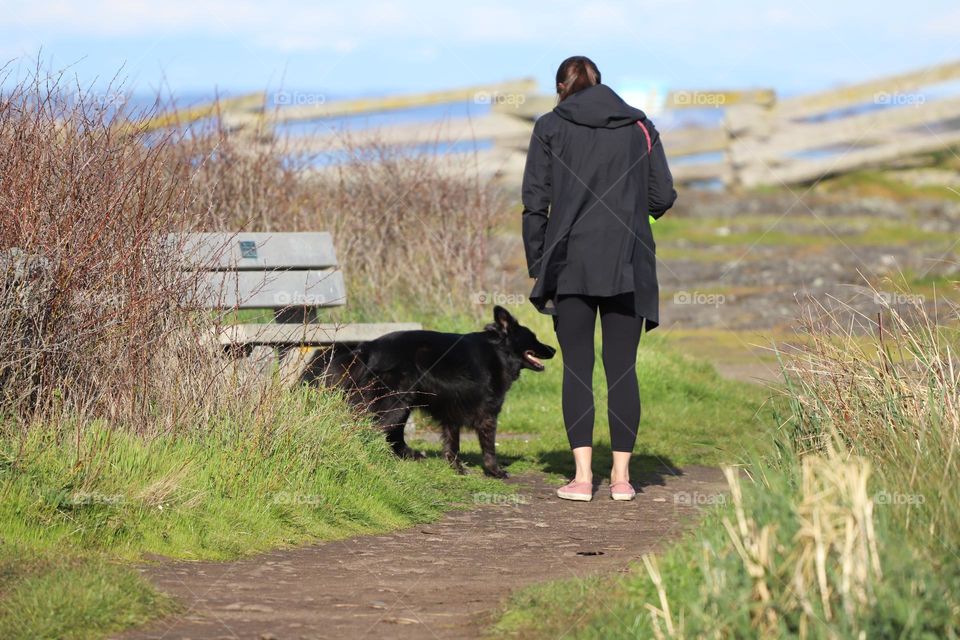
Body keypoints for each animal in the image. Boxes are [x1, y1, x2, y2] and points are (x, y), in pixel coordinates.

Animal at [300, 308, 556, 478]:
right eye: (533, 338)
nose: (553, 349)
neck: (498, 351)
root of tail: (367, 347)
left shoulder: (452, 410)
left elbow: (452, 444)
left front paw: (456, 468)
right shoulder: (488, 412)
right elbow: (489, 445)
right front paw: (495, 471)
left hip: (403, 402)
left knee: (392, 435)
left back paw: (409, 457)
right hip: (395, 403)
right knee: (373, 431)